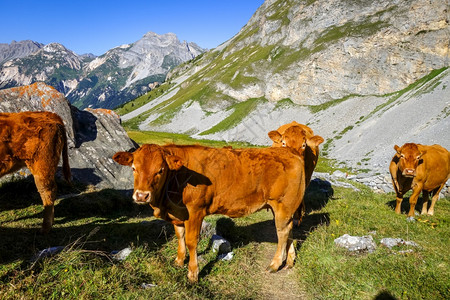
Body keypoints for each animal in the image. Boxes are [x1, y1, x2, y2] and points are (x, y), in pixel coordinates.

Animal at [114, 144, 308, 282]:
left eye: (160, 170)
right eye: (133, 168)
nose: (141, 195)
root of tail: (290, 151)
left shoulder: (195, 211)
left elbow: (191, 241)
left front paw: (193, 273)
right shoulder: (178, 214)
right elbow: (179, 236)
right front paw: (179, 261)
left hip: (283, 204)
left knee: (282, 233)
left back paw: (275, 264)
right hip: (284, 209)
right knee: (289, 230)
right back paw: (289, 261)